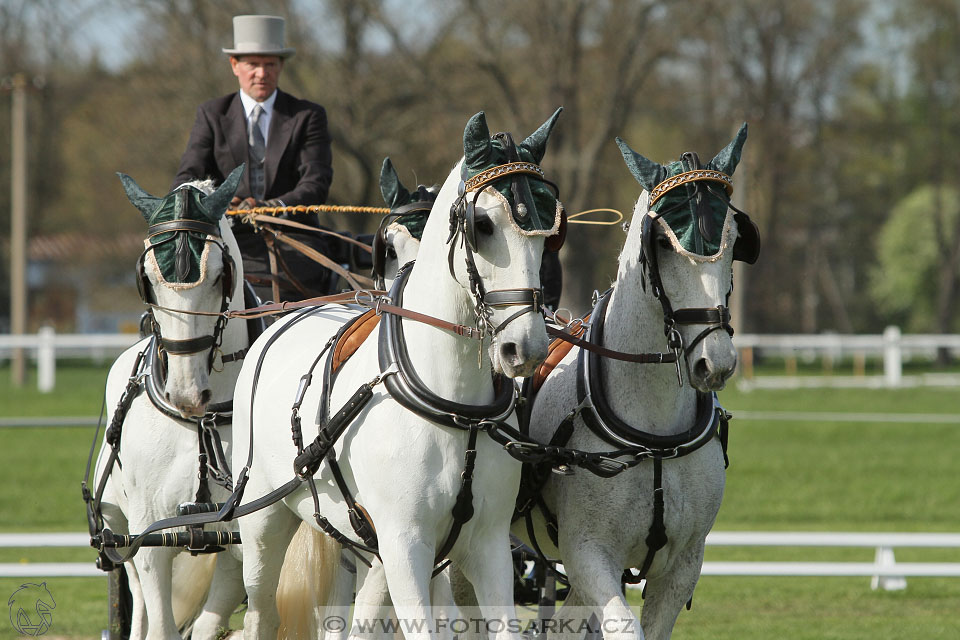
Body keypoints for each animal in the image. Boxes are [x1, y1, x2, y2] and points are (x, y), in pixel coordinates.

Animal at [87, 169, 249, 640]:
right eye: (148, 278)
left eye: (220, 275)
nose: (187, 394)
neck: (201, 423)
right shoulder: (148, 540)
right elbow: (160, 624)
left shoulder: (241, 537)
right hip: (120, 531)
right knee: (140, 607)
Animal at [232, 111, 564, 640]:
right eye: (483, 225)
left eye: (551, 230)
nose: (525, 348)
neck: (454, 407)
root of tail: (284, 318)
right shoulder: (405, 544)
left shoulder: (486, 543)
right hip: (263, 521)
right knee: (262, 612)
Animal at [512, 125, 760, 640]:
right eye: (663, 243)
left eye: (732, 239)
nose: (717, 361)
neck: (655, 435)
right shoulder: (587, 554)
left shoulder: (684, 564)